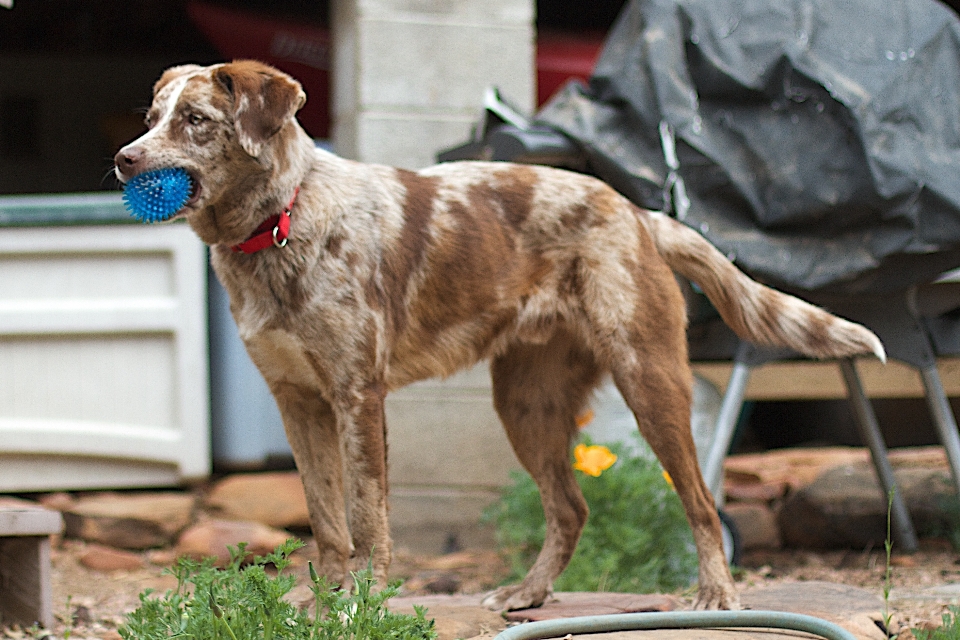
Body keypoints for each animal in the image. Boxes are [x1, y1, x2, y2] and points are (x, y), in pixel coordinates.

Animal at [114, 62, 884, 612]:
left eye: (196, 120)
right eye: (150, 118)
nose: (123, 159)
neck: (280, 222)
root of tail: (635, 211)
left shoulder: (358, 397)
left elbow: (368, 519)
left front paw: (361, 605)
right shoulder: (297, 400)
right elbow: (327, 521)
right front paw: (322, 608)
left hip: (650, 381)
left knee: (698, 500)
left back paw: (716, 596)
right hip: (526, 404)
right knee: (571, 507)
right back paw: (528, 593)